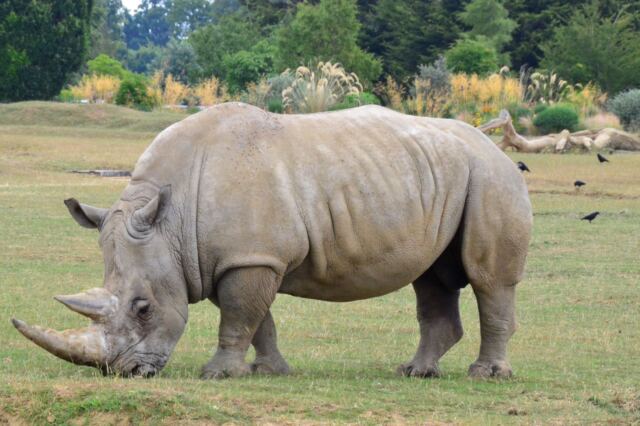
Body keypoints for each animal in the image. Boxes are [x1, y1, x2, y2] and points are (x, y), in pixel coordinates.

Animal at [12, 103, 532, 379]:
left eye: (142, 308)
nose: (124, 372)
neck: (170, 220)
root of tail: (494, 146)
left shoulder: (248, 258)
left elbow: (239, 315)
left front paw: (218, 375)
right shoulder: (229, 258)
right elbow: (255, 319)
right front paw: (269, 372)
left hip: (491, 177)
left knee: (488, 279)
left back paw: (486, 376)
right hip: (442, 175)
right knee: (432, 278)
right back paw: (415, 373)